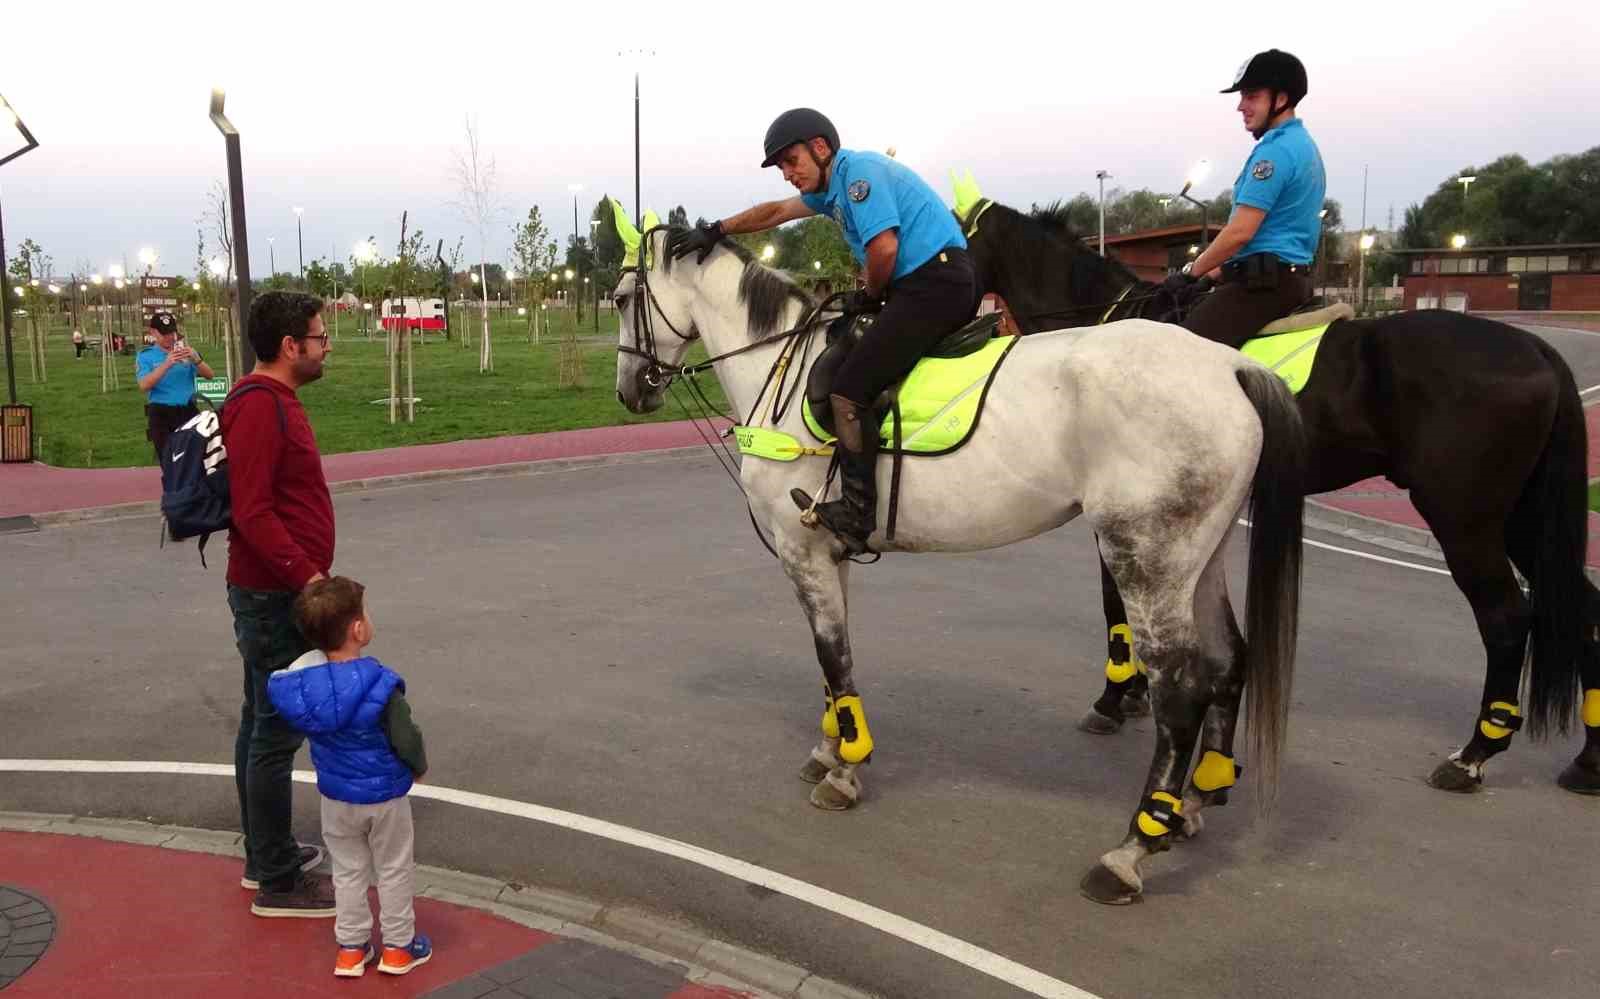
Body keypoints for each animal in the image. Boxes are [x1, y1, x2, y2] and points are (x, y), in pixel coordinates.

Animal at [953, 192, 1593, 797]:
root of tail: (1537, 349)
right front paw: (1130, 695)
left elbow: (1114, 604)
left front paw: (1115, 699)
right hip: (1519, 515)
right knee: (1581, 604)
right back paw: (1586, 762)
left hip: (1462, 516)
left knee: (1506, 618)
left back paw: (1474, 756)